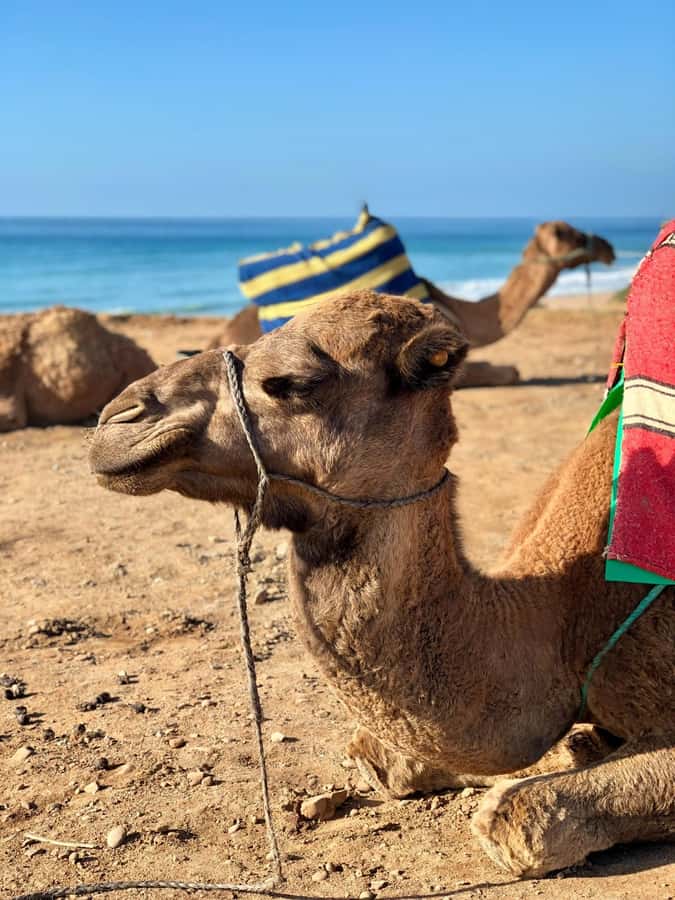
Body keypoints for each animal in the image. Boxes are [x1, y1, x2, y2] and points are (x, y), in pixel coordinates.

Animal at [90, 291, 673, 878]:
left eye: (292, 382)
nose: (117, 418)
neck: (558, 616)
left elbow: (512, 820)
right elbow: (382, 759)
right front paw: (576, 745)